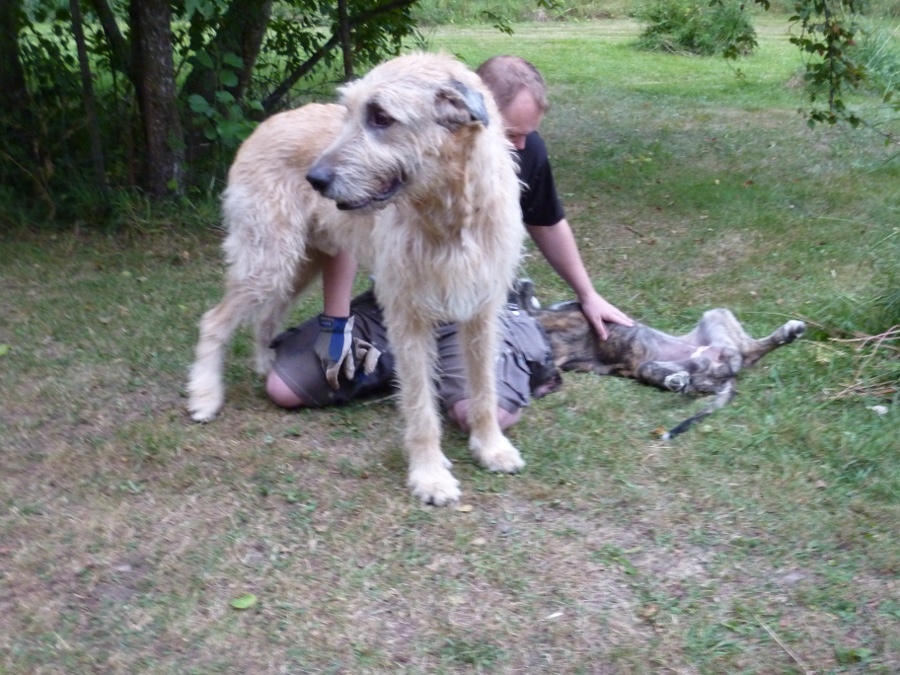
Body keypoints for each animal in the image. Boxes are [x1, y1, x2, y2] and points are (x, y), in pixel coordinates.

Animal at [190, 52, 528, 504]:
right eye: (348, 112)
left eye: (381, 117)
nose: (314, 179)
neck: (450, 216)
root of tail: (263, 125)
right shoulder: (407, 315)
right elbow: (420, 404)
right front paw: (430, 475)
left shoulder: (481, 310)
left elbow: (485, 387)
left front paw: (491, 447)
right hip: (268, 259)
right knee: (215, 320)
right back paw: (205, 394)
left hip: (302, 262)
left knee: (267, 315)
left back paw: (263, 364)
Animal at [512, 278, 808, 440]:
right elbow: (527, 301)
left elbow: (529, 301)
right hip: (654, 366)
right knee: (729, 363)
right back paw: (685, 375)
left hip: (716, 316)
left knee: (748, 353)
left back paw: (789, 331)